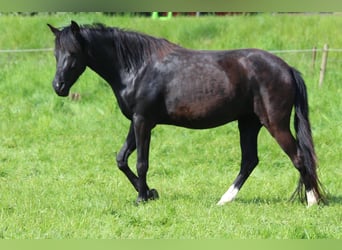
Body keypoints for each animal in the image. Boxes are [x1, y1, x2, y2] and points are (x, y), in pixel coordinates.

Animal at [48, 20, 326, 206]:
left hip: (275, 124)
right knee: (249, 161)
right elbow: (121, 159)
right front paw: (150, 193)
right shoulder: (135, 122)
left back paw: (312, 201)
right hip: (248, 123)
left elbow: (141, 162)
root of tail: (287, 68)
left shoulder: (143, 122)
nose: (58, 86)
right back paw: (224, 200)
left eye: (73, 53)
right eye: (56, 53)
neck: (138, 67)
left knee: (298, 157)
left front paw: (142, 197)